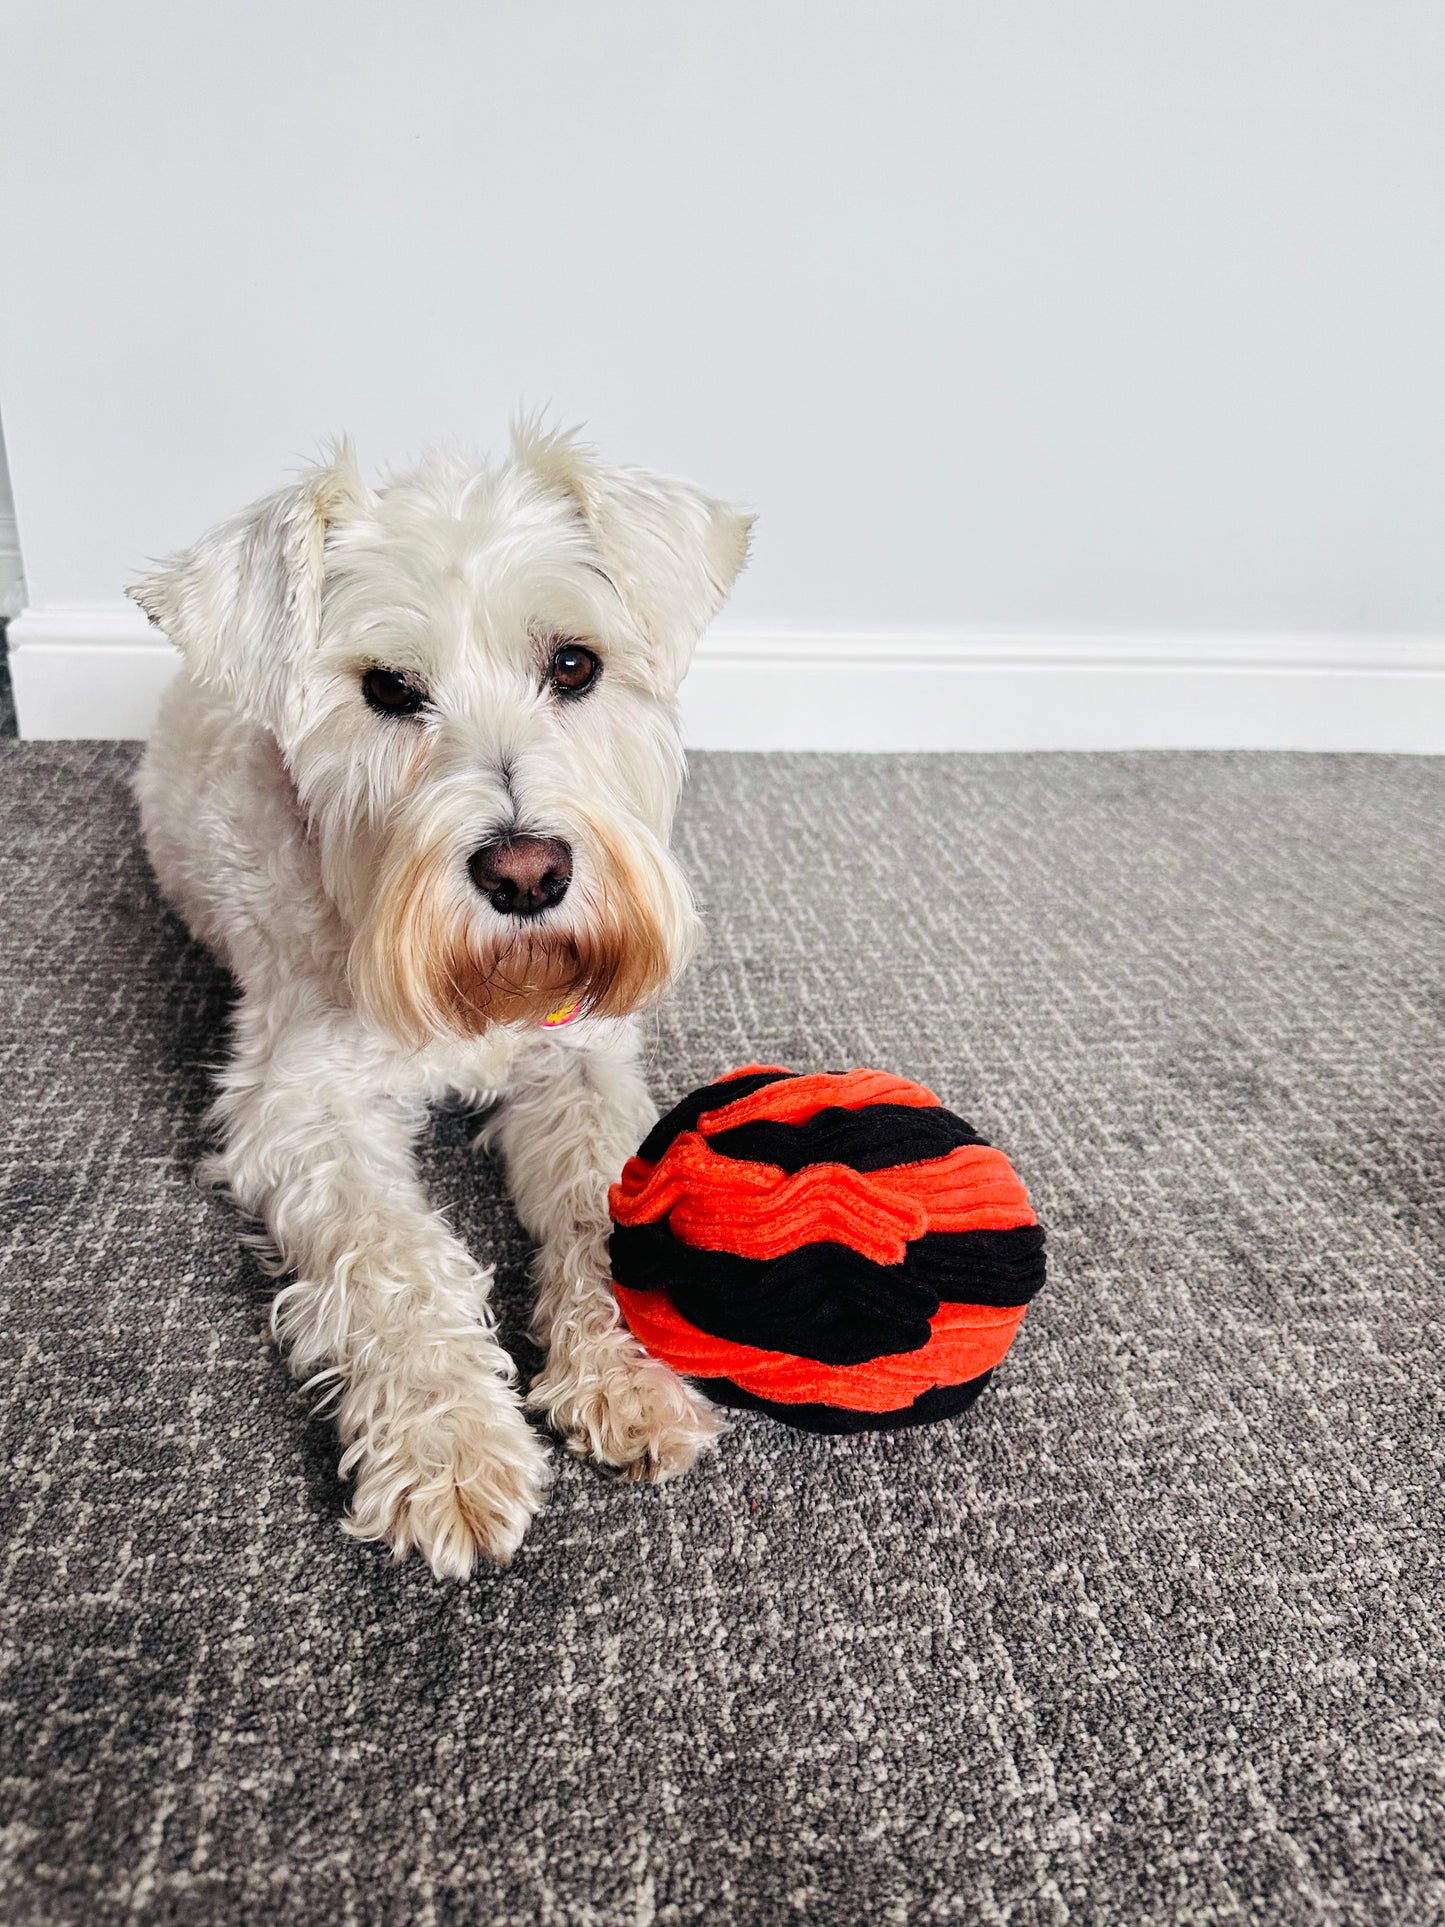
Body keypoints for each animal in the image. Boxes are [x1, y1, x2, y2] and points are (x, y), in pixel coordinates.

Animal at [130, 425, 751, 1580]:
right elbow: (396, 1263)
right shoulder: (300, 1107)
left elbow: (605, 1207)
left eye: (573, 664)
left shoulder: (581, 1063)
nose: (526, 874)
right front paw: (450, 1450)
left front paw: (629, 1374)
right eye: (386, 686)